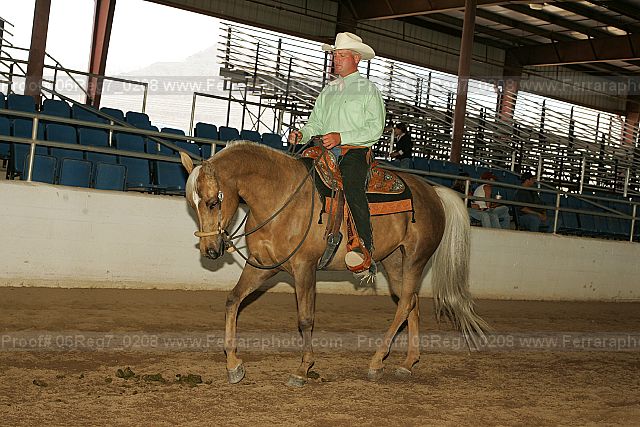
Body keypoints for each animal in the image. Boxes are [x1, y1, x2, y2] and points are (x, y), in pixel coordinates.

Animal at [179, 141, 489, 386]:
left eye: (212, 202)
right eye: (192, 206)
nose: (210, 250)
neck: (281, 197)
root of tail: (434, 191)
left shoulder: (304, 268)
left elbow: (305, 319)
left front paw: (302, 370)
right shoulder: (261, 265)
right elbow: (233, 301)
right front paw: (234, 364)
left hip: (415, 257)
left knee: (404, 305)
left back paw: (376, 361)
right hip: (393, 262)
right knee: (410, 302)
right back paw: (407, 363)